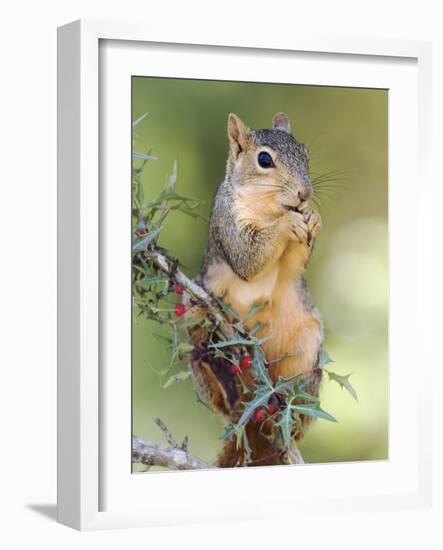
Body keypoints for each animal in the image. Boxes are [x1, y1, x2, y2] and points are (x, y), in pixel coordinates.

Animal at [186, 113, 322, 470]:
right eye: (264, 160)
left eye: (306, 153)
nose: (305, 193)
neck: (270, 209)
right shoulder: (228, 223)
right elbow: (249, 257)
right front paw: (288, 224)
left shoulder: (292, 268)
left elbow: (293, 266)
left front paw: (313, 216)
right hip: (194, 311)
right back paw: (226, 385)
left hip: (306, 346)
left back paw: (290, 414)